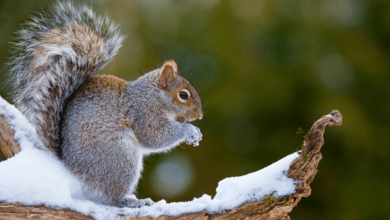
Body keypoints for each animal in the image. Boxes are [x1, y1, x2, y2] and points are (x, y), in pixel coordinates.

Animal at [6, 1, 204, 207]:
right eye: (183, 95)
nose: (199, 115)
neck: (152, 96)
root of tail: (73, 171)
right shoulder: (143, 112)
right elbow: (154, 136)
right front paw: (189, 130)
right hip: (121, 160)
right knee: (111, 196)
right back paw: (131, 202)